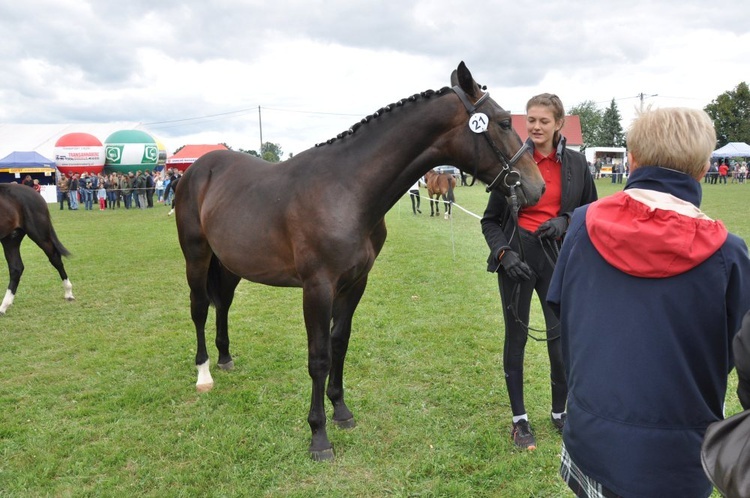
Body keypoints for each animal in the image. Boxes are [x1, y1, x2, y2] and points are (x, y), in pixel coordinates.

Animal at [0, 183, 75, 316]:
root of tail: (36, 194)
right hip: (10, 239)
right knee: (16, 269)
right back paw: (4, 306)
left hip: (39, 235)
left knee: (55, 259)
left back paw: (68, 293)